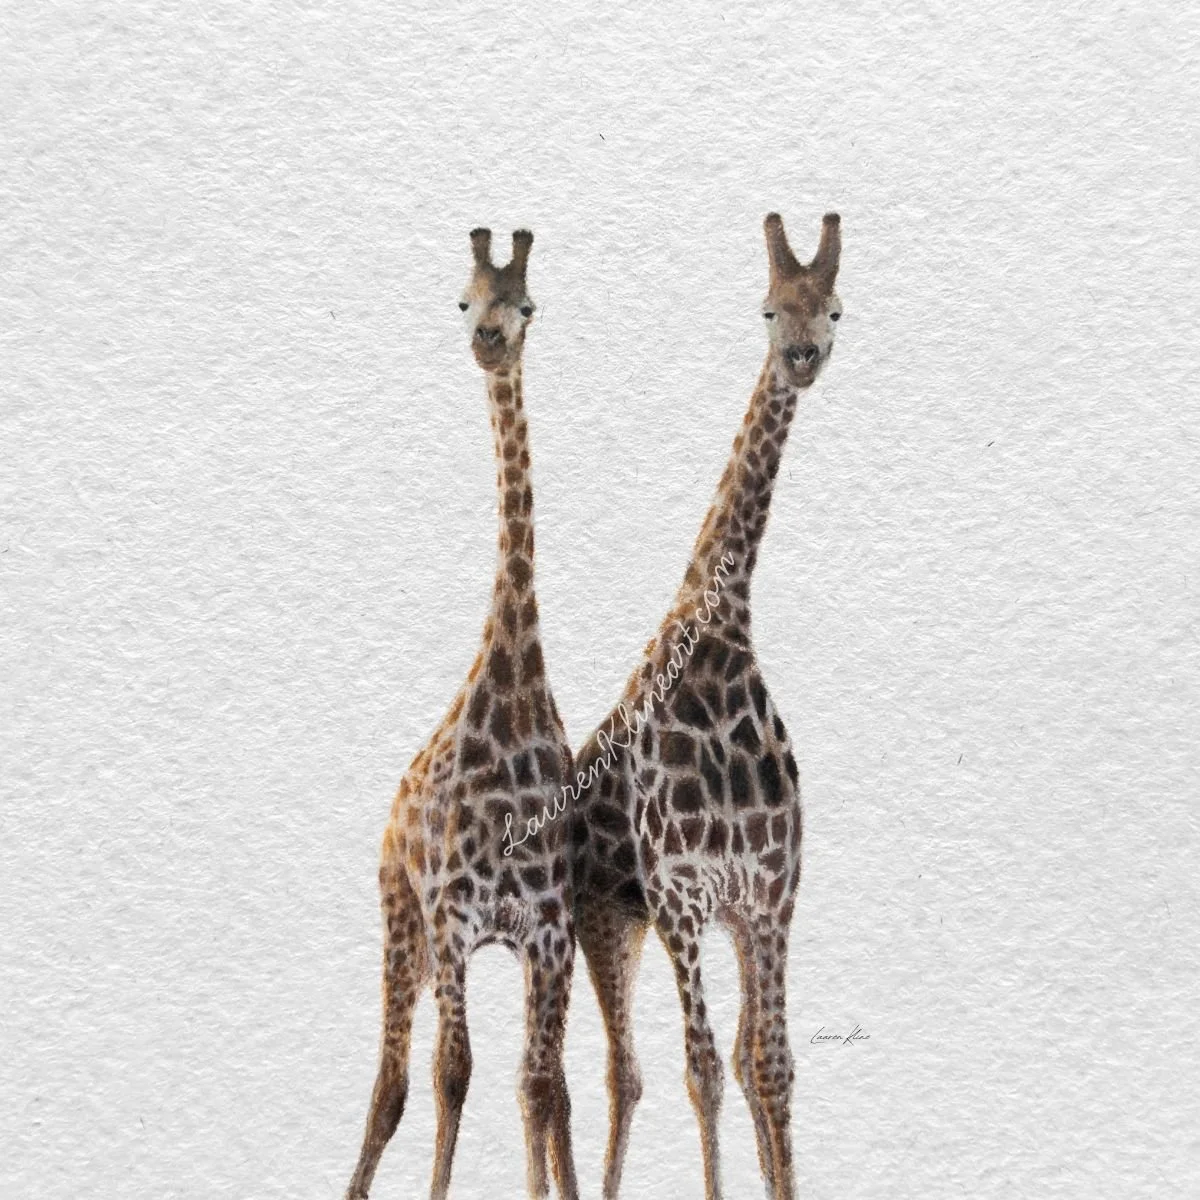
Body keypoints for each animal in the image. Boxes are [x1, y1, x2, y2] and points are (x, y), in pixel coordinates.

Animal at [569, 212, 843, 1200]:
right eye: (766, 307)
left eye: (835, 308)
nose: (801, 357)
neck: (721, 641)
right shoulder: (684, 897)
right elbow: (704, 1068)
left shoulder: (767, 900)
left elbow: (770, 1064)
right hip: (606, 918)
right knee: (620, 1069)